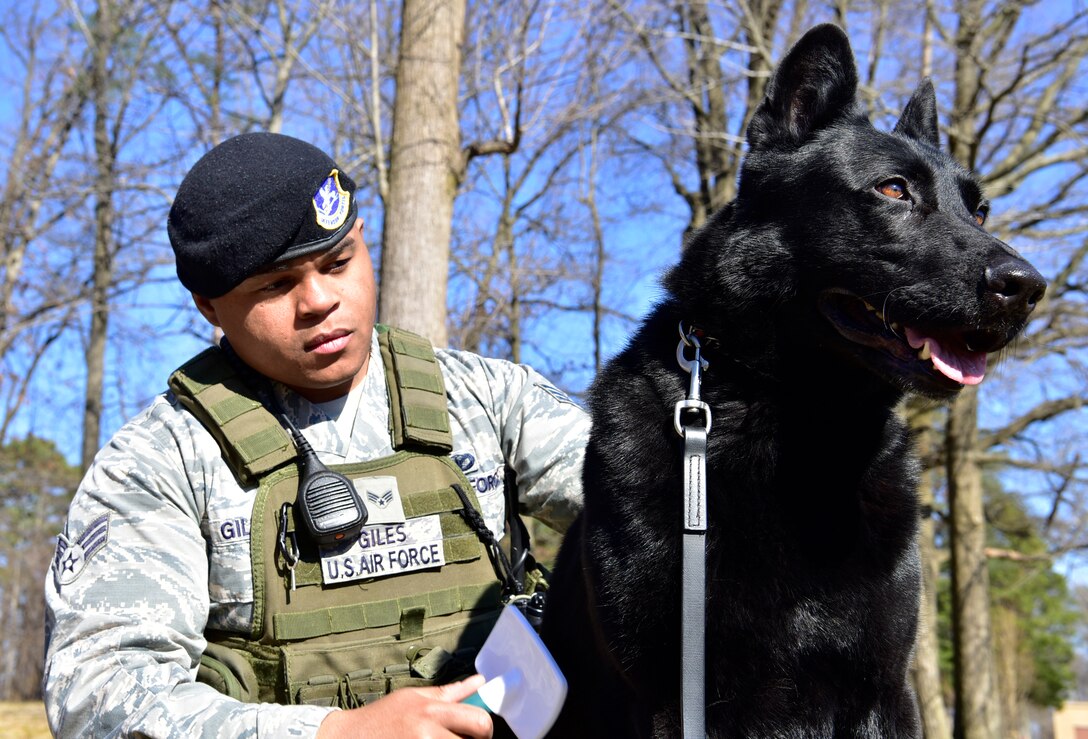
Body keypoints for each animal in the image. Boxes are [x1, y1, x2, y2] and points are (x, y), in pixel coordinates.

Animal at [541, 23, 1044, 739]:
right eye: (894, 191)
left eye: (980, 212)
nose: (1028, 288)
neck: (805, 424)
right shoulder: (667, 698)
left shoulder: (884, 690)